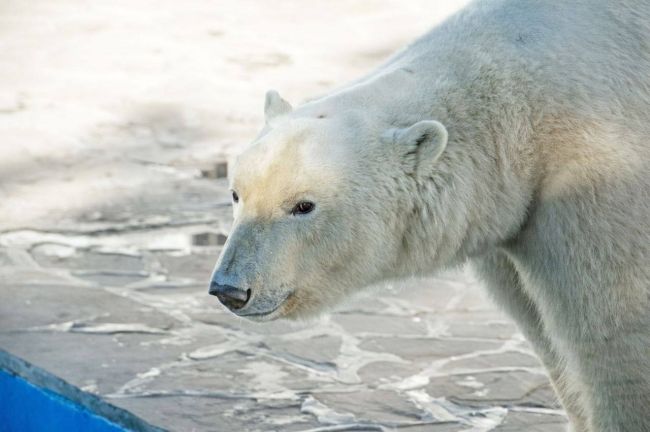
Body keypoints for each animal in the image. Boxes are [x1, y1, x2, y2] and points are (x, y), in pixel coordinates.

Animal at [208, 1, 648, 430]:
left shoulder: (596, 179)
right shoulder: (512, 212)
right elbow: (540, 326)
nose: (230, 289)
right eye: (236, 193)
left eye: (303, 205)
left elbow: (615, 334)